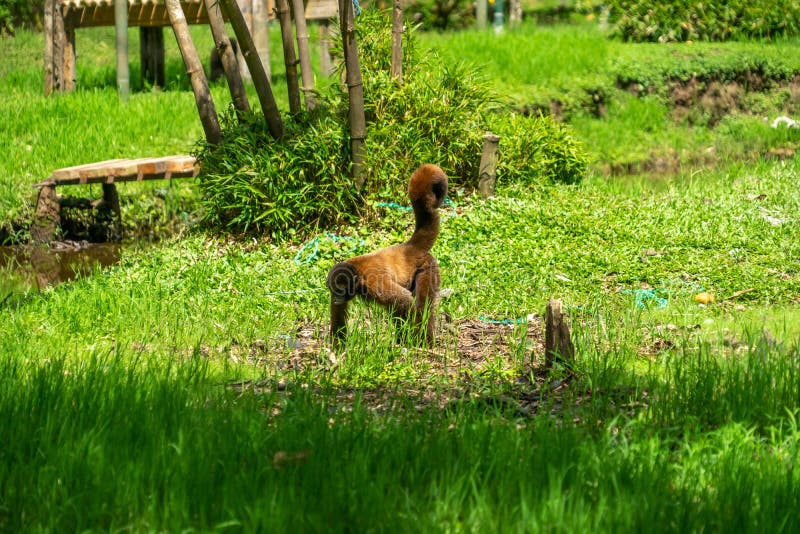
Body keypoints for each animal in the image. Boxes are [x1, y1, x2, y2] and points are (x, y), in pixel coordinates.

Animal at [326, 164, 449, 349]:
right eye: (334, 291)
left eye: (340, 290)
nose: (336, 298)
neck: (357, 273)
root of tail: (409, 247)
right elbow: (338, 315)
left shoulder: (373, 281)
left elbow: (406, 302)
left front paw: (412, 338)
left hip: (428, 267)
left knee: (421, 306)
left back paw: (424, 341)